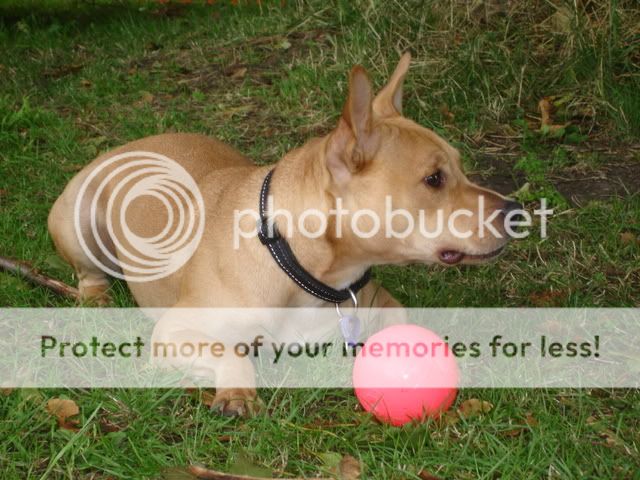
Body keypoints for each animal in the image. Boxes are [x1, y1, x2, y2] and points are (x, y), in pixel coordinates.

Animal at [48, 51, 520, 412]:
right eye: (434, 180)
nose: (515, 210)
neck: (300, 262)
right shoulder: (175, 332)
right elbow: (229, 353)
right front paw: (237, 392)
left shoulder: (381, 302)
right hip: (76, 218)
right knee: (88, 273)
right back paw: (97, 296)